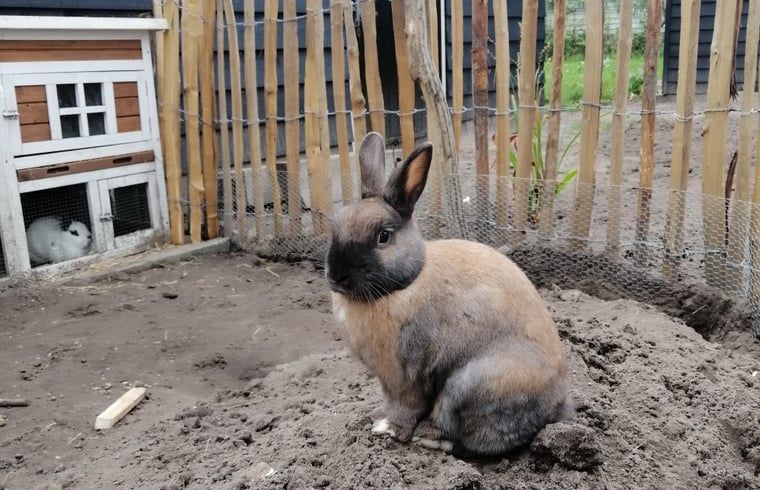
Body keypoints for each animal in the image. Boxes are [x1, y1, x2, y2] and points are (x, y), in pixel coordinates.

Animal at [325, 132, 570, 457]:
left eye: (383, 237)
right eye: (335, 226)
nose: (335, 276)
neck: (405, 284)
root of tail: (555, 407)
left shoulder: (405, 375)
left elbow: (405, 407)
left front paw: (388, 430)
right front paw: (377, 418)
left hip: (467, 386)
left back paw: (428, 437)